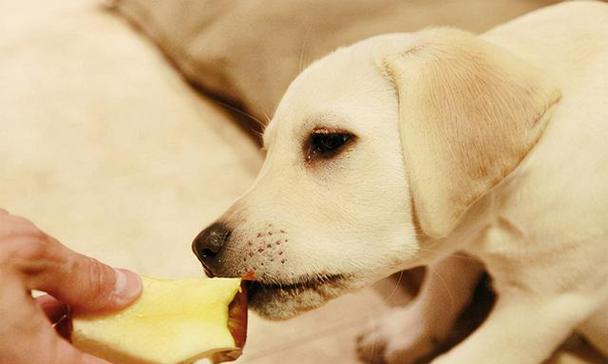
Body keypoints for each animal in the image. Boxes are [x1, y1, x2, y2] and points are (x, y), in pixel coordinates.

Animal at [191, 1, 608, 362]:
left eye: (328, 141)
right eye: (266, 150)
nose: (202, 248)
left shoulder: (542, 307)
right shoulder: (458, 238)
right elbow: (442, 283)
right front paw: (405, 334)